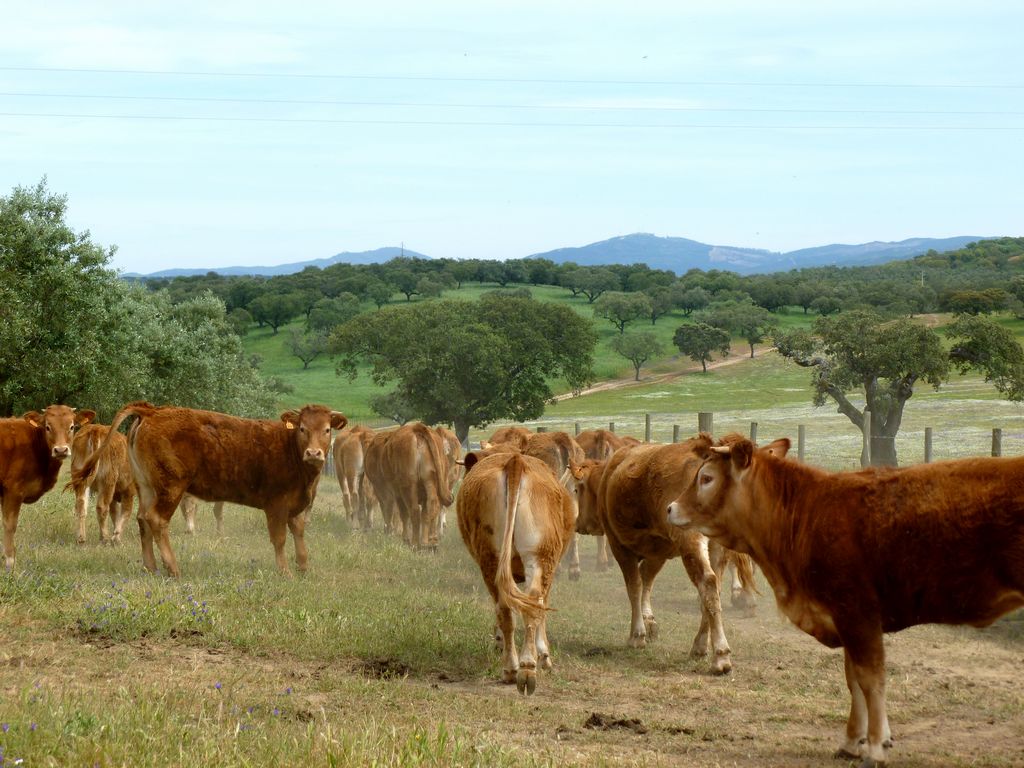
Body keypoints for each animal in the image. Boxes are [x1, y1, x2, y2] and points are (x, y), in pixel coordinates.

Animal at [0, 405, 95, 569]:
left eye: (71, 426)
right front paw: (10, 563)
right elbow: (10, 525)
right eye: (48, 427)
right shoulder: (13, 490)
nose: (61, 450)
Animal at [71, 403, 348, 577]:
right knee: (156, 520)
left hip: (147, 487)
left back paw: (151, 567)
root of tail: (153, 410)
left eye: (326, 429)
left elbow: (299, 533)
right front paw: (285, 572)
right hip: (171, 487)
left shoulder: (296, 505)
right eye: (302, 428)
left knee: (142, 520)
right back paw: (173, 568)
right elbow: (279, 539)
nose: (314, 453)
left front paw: (303, 567)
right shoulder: (277, 505)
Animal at [456, 450, 577, 696]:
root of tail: (515, 461)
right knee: (533, 605)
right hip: (542, 557)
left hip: (493, 558)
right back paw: (523, 668)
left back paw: (518, 668)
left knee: (507, 609)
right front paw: (544, 655)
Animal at [589, 436, 741, 675]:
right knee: (713, 587)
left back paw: (720, 655)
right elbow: (646, 581)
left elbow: (634, 586)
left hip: (689, 540)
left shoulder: (619, 546)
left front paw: (637, 634)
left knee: (707, 583)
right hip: (717, 547)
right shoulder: (658, 551)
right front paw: (648, 622)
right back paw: (699, 646)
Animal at [667, 436, 1024, 765]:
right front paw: (854, 740)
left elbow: (871, 679)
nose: (670, 508)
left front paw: (876, 746)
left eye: (706, 478)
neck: (805, 515)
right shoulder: (844, 621)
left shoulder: (858, 615)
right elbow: (853, 680)